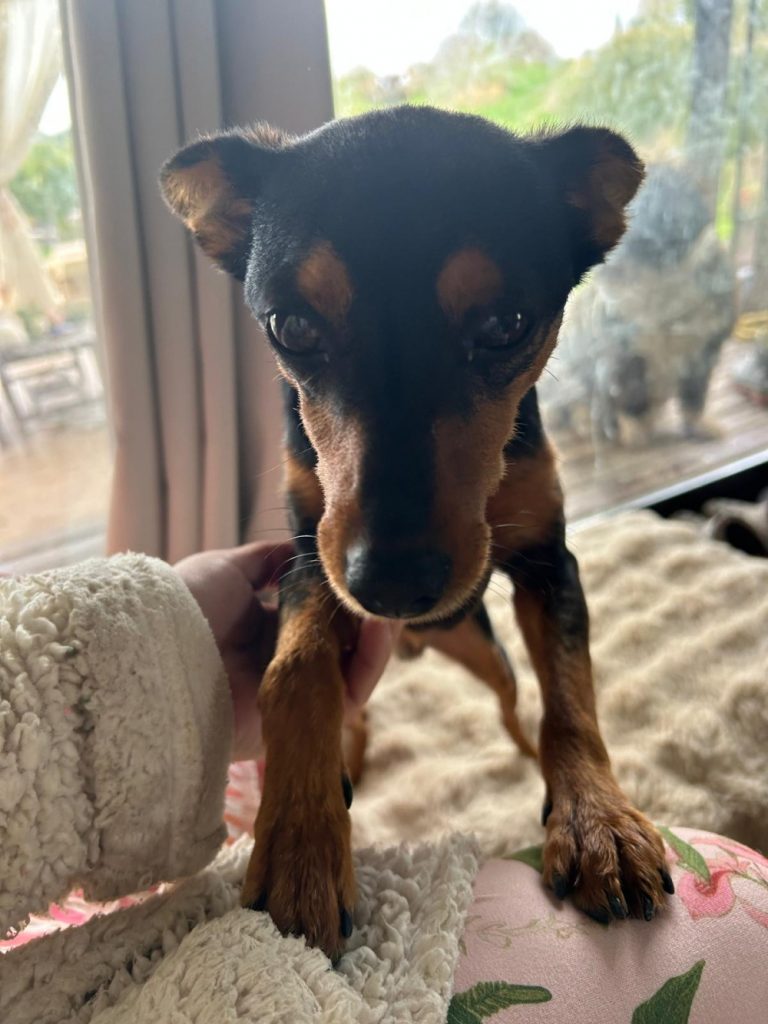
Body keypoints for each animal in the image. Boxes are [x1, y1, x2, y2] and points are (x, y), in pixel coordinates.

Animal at [161, 106, 673, 960]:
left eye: (506, 325)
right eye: (290, 326)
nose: (392, 587)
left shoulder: (548, 563)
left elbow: (570, 693)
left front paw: (597, 821)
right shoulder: (307, 560)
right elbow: (295, 672)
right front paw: (300, 848)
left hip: (480, 642)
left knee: (515, 698)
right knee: (359, 706)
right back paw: (351, 753)